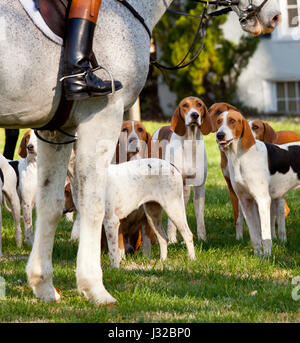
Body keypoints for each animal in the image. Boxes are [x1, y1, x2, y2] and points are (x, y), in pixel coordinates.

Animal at [152, 96, 211, 242]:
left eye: (199, 104)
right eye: (185, 105)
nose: (194, 115)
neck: (190, 143)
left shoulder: (199, 187)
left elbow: (200, 217)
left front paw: (202, 238)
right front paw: (172, 239)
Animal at [212, 110, 300, 255]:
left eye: (232, 121)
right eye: (218, 121)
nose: (220, 135)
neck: (240, 157)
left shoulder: (263, 200)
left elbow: (265, 235)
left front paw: (267, 256)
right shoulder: (245, 202)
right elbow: (255, 235)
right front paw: (258, 255)